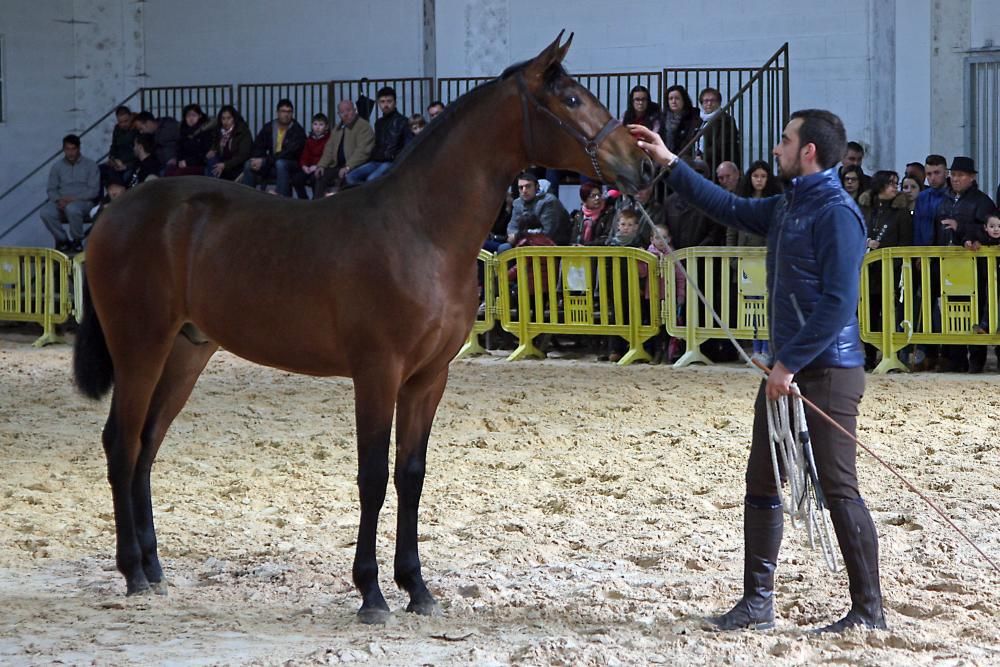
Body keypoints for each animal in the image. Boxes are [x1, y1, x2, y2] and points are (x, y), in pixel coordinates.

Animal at [72, 32, 656, 628]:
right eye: (573, 101)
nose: (643, 164)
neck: (420, 230)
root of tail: (115, 213)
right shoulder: (377, 372)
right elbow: (372, 476)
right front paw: (371, 593)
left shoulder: (428, 378)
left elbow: (411, 474)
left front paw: (416, 587)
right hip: (140, 347)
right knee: (121, 442)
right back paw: (133, 572)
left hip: (186, 352)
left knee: (147, 445)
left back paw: (154, 568)